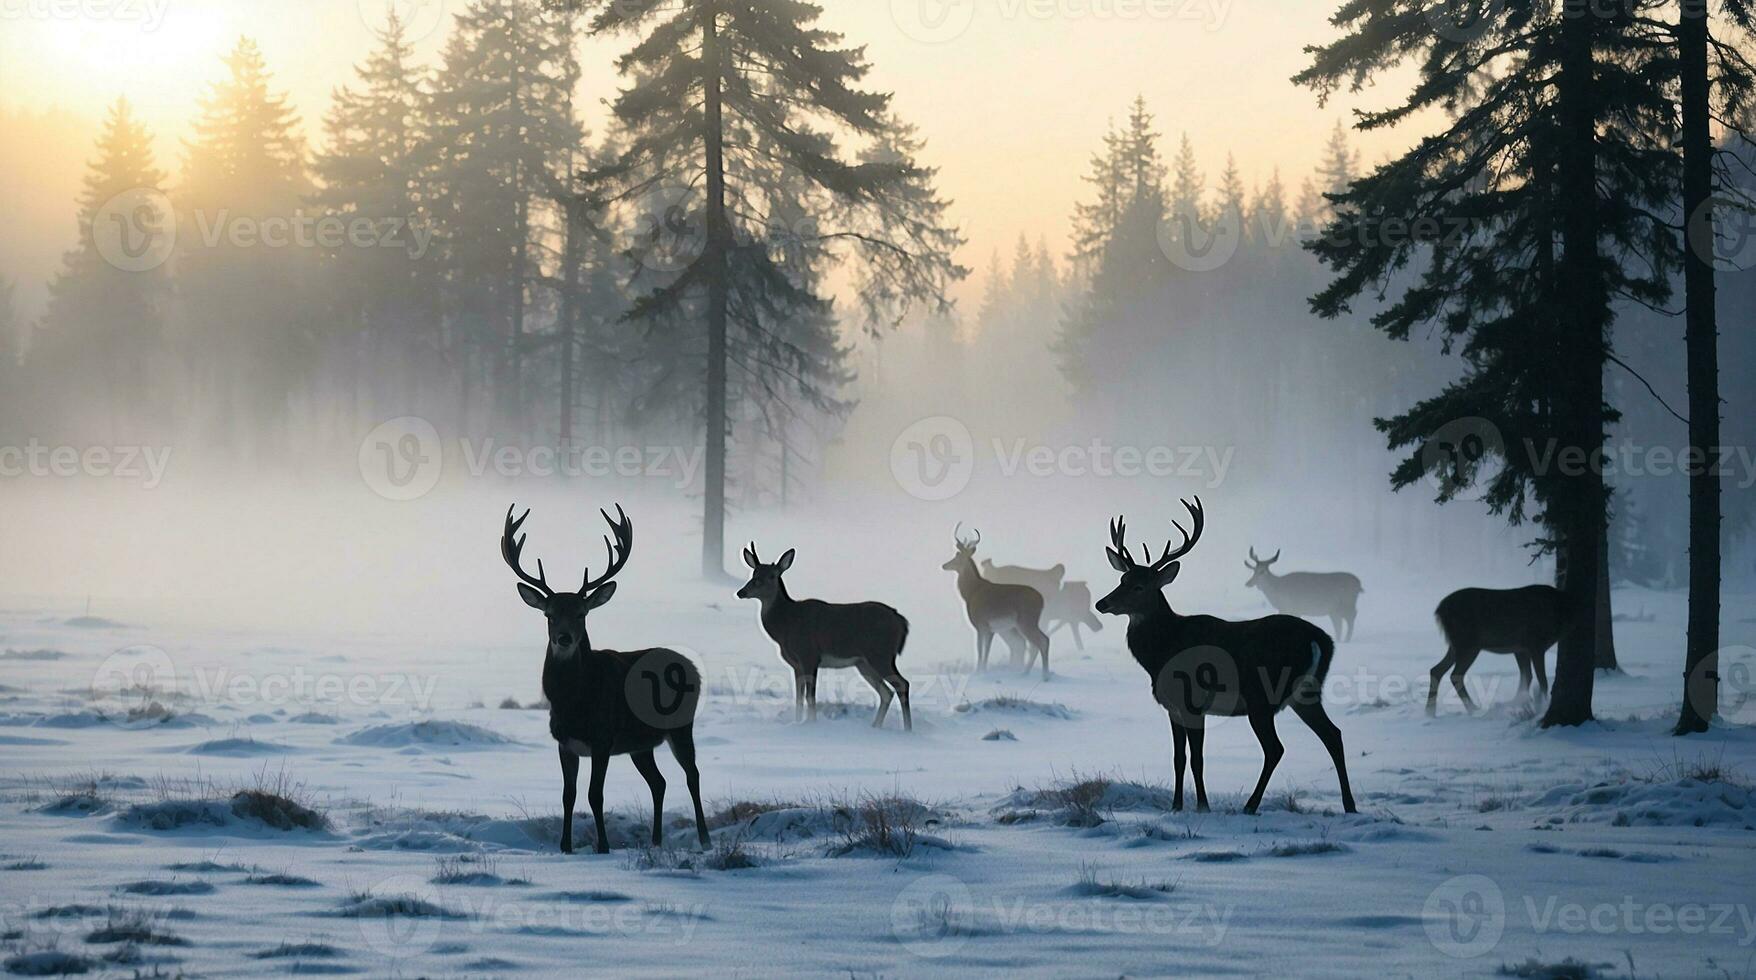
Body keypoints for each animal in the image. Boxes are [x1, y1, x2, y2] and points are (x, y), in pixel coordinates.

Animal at [502, 505, 705, 860]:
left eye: (582, 613)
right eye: (549, 615)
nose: (564, 638)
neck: (574, 703)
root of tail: (692, 666)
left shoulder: (603, 738)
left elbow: (595, 794)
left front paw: (604, 846)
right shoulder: (564, 743)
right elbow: (568, 795)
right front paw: (565, 847)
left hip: (681, 726)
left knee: (692, 775)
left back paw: (704, 839)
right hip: (640, 744)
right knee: (659, 782)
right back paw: (655, 840)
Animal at [734, 547, 913, 734]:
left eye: (772, 576)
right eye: (753, 574)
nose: (741, 592)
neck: (786, 626)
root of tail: (901, 621)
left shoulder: (809, 655)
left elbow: (810, 696)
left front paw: (811, 723)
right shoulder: (796, 664)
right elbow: (799, 697)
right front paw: (797, 722)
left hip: (881, 654)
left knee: (902, 684)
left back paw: (907, 730)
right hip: (864, 662)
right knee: (886, 692)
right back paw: (876, 727)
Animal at [941, 526, 1046, 681]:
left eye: (957, 555)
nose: (944, 565)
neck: (971, 593)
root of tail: (1041, 600)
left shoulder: (980, 624)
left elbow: (980, 649)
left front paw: (979, 672)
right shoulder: (990, 629)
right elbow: (986, 650)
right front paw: (983, 671)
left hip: (1026, 621)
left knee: (1043, 641)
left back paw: (1044, 675)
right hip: (1023, 624)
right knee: (1035, 645)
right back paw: (1025, 673)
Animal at [1095, 502, 1355, 818]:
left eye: (1139, 587)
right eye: (1122, 579)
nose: (1102, 603)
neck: (1162, 653)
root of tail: (1321, 640)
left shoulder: (1192, 701)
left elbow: (1197, 758)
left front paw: (1203, 806)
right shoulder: (1172, 707)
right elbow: (1178, 758)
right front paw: (1176, 807)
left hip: (1262, 695)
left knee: (1276, 748)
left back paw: (1250, 805)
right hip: (1306, 693)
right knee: (1333, 735)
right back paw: (1350, 805)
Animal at [1432, 586, 1573, 720]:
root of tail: (1439, 610)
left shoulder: (1520, 649)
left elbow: (1526, 676)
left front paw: (1519, 703)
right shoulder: (1536, 644)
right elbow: (1542, 680)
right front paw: (1540, 706)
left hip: (1456, 645)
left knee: (1436, 670)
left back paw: (1430, 712)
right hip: (1468, 643)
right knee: (1455, 674)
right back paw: (1473, 709)